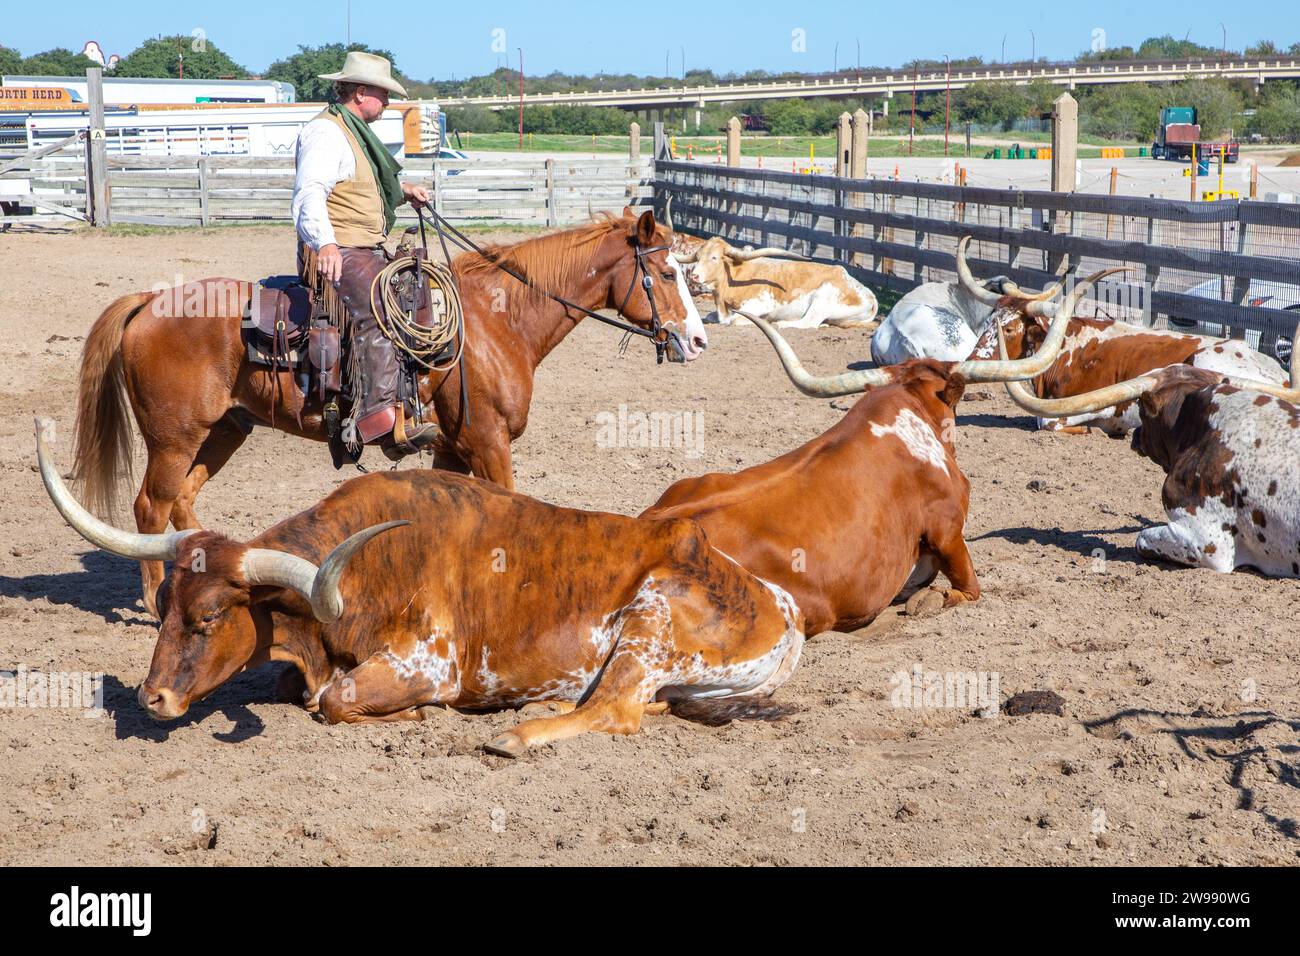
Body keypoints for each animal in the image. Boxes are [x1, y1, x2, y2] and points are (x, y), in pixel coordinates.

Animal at [36, 422, 804, 756]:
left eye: (212, 615)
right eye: (163, 609)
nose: (152, 699)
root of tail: (782, 607)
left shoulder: (427, 665)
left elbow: (334, 701)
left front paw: (408, 720)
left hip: (649, 617)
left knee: (617, 709)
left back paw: (517, 734)